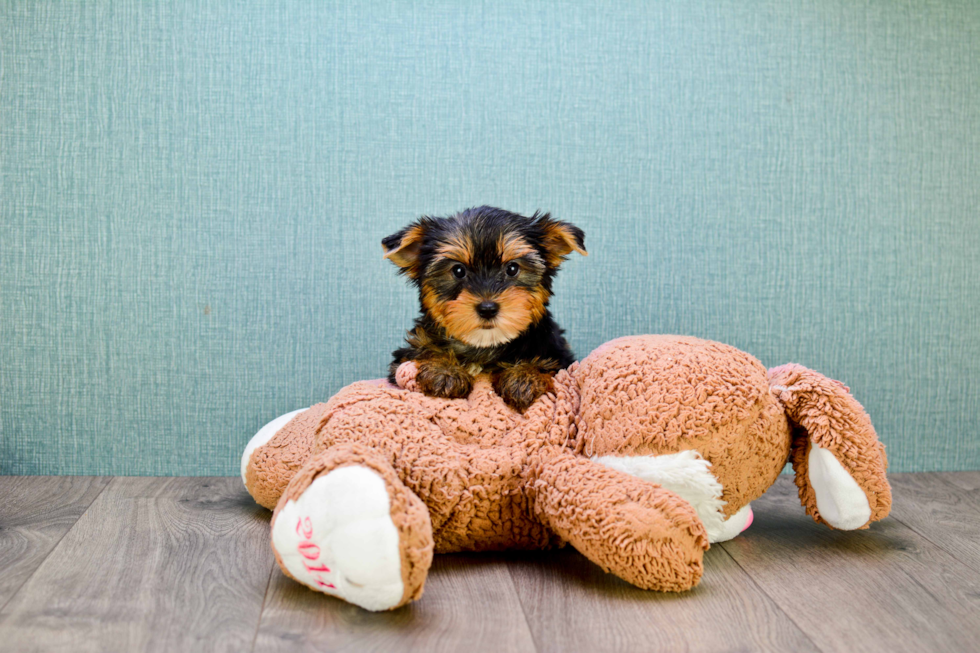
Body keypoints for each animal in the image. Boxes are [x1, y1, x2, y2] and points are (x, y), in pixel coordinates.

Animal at [380, 206, 580, 412]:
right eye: (458, 271)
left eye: (512, 268)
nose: (488, 308)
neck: (483, 346)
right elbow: (426, 350)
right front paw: (443, 370)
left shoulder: (558, 356)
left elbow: (548, 367)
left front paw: (524, 377)